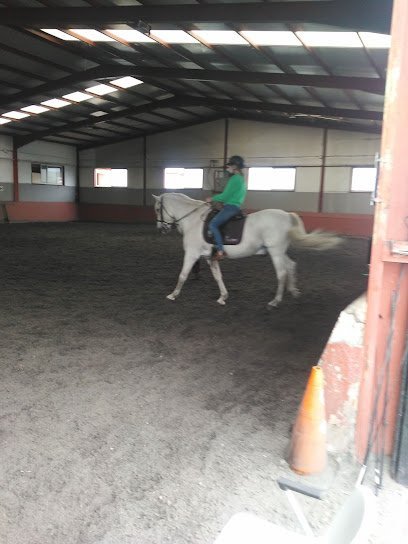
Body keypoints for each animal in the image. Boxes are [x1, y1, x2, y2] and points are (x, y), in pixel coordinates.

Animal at [153, 193, 342, 308]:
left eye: (156, 209)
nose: (161, 228)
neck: (193, 220)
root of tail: (287, 215)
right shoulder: (209, 257)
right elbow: (218, 277)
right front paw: (223, 297)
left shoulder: (192, 254)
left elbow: (183, 275)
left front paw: (173, 295)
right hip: (279, 252)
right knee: (290, 265)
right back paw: (293, 291)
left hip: (275, 252)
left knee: (281, 273)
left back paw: (275, 301)